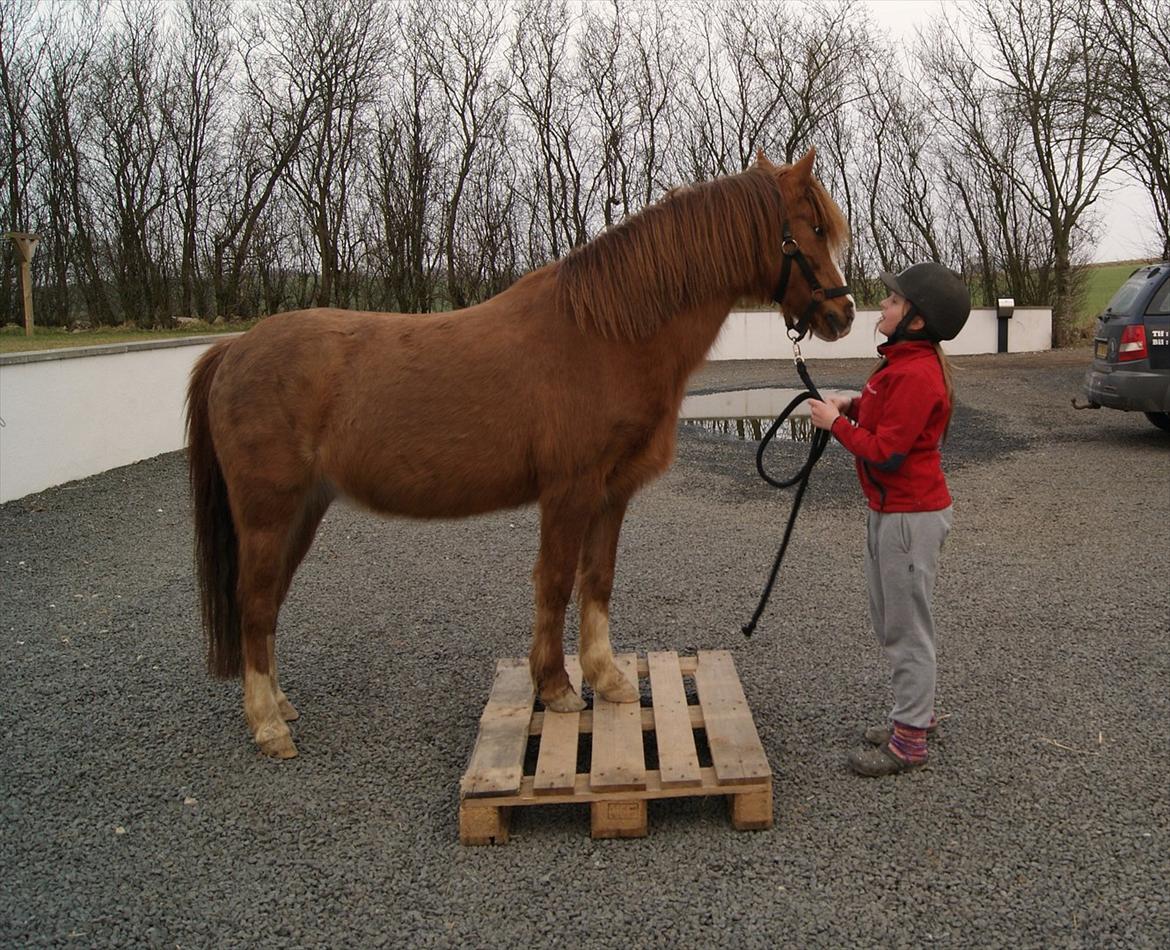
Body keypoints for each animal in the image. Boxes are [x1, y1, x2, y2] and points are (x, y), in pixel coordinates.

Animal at [187, 148, 856, 758]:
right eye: (811, 229)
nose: (843, 312)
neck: (607, 333)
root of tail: (234, 349)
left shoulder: (611, 493)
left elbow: (597, 579)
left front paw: (607, 679)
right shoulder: (570, 490)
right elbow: (555, 581)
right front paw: (556, 688)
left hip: (302, 510)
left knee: (268, 601)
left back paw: (279, 707)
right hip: (268, 513)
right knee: (255, 602)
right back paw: (267, 726)